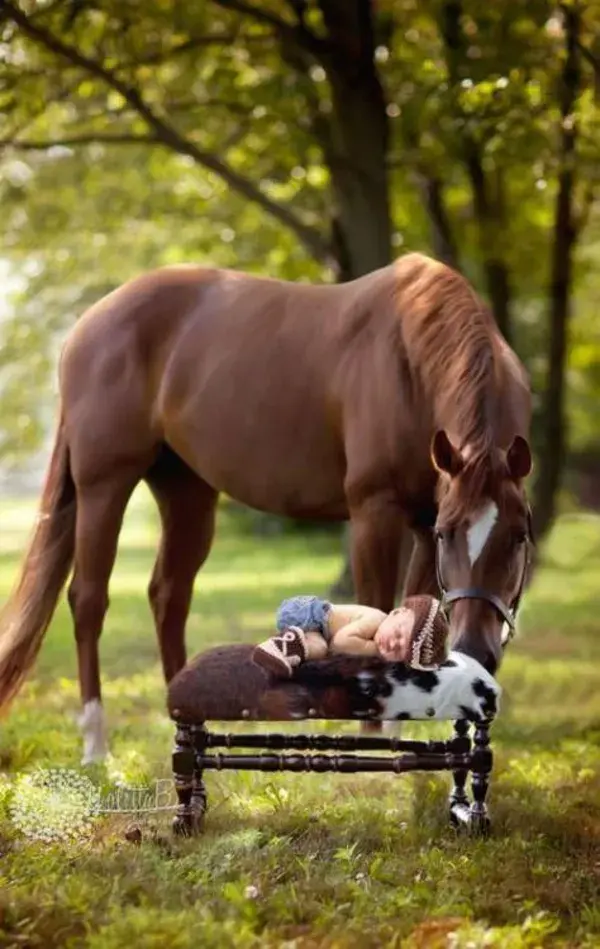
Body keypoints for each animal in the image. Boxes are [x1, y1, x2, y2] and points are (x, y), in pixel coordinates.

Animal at [0, 252, 532, 764]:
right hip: (103, 484)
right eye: (450, 534)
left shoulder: (421, 522)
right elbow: (378, 615)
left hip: (187, 491)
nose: (475, 649)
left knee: (169, 596)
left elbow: (412, 622)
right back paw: (95, 746)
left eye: (520, 536)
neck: (410, 364)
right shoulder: (376, 513)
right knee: (89, 600)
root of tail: (88, 324)